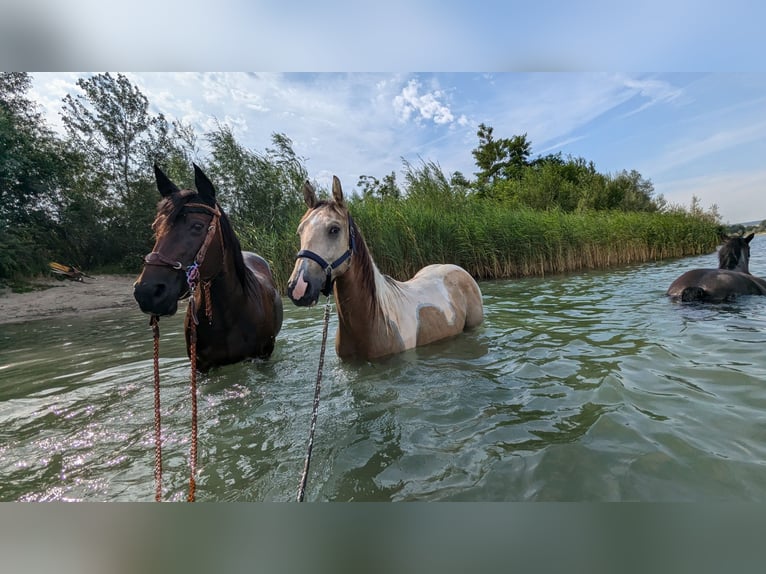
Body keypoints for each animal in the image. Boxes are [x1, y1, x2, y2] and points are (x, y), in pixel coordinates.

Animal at [135, 164, 284, 372]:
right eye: (156, 227)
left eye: (197, 226)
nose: (147, 292)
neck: (228, 314)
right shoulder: (201, 366)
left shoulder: (262, 357)